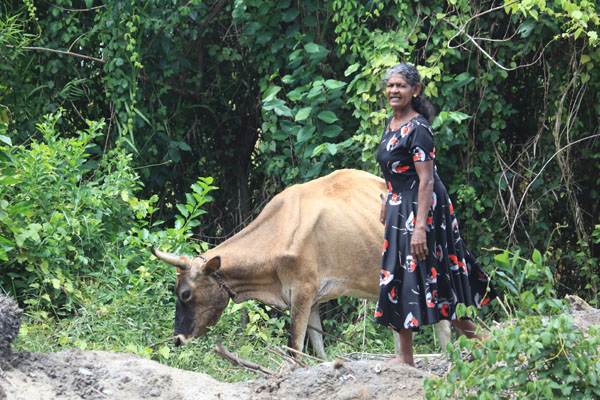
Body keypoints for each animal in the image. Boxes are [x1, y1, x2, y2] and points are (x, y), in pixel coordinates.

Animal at [151, 167, 450, 358]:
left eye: (185, 294)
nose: (177, 338)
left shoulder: (303, 293)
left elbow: (294, 348)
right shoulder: (313, 301)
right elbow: (317, 348)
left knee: (442, 323)